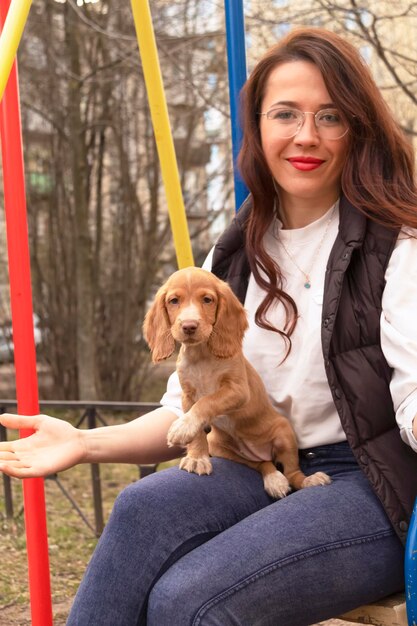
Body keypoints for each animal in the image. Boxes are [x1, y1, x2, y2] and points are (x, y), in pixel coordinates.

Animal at [141, 266, 330, 494]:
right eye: (174, 301)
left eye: (207, 299)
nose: (189, 326)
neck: (201, 356)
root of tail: (259, 451)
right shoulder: (187, 396)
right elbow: (198, 427)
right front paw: (197, 457)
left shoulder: (238, 391)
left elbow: (207, 401)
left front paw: (183, 428)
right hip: (222, 448)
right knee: (261, 464)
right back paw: (273, 478)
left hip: (284, 434)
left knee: (292, 473)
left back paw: (307, 480)